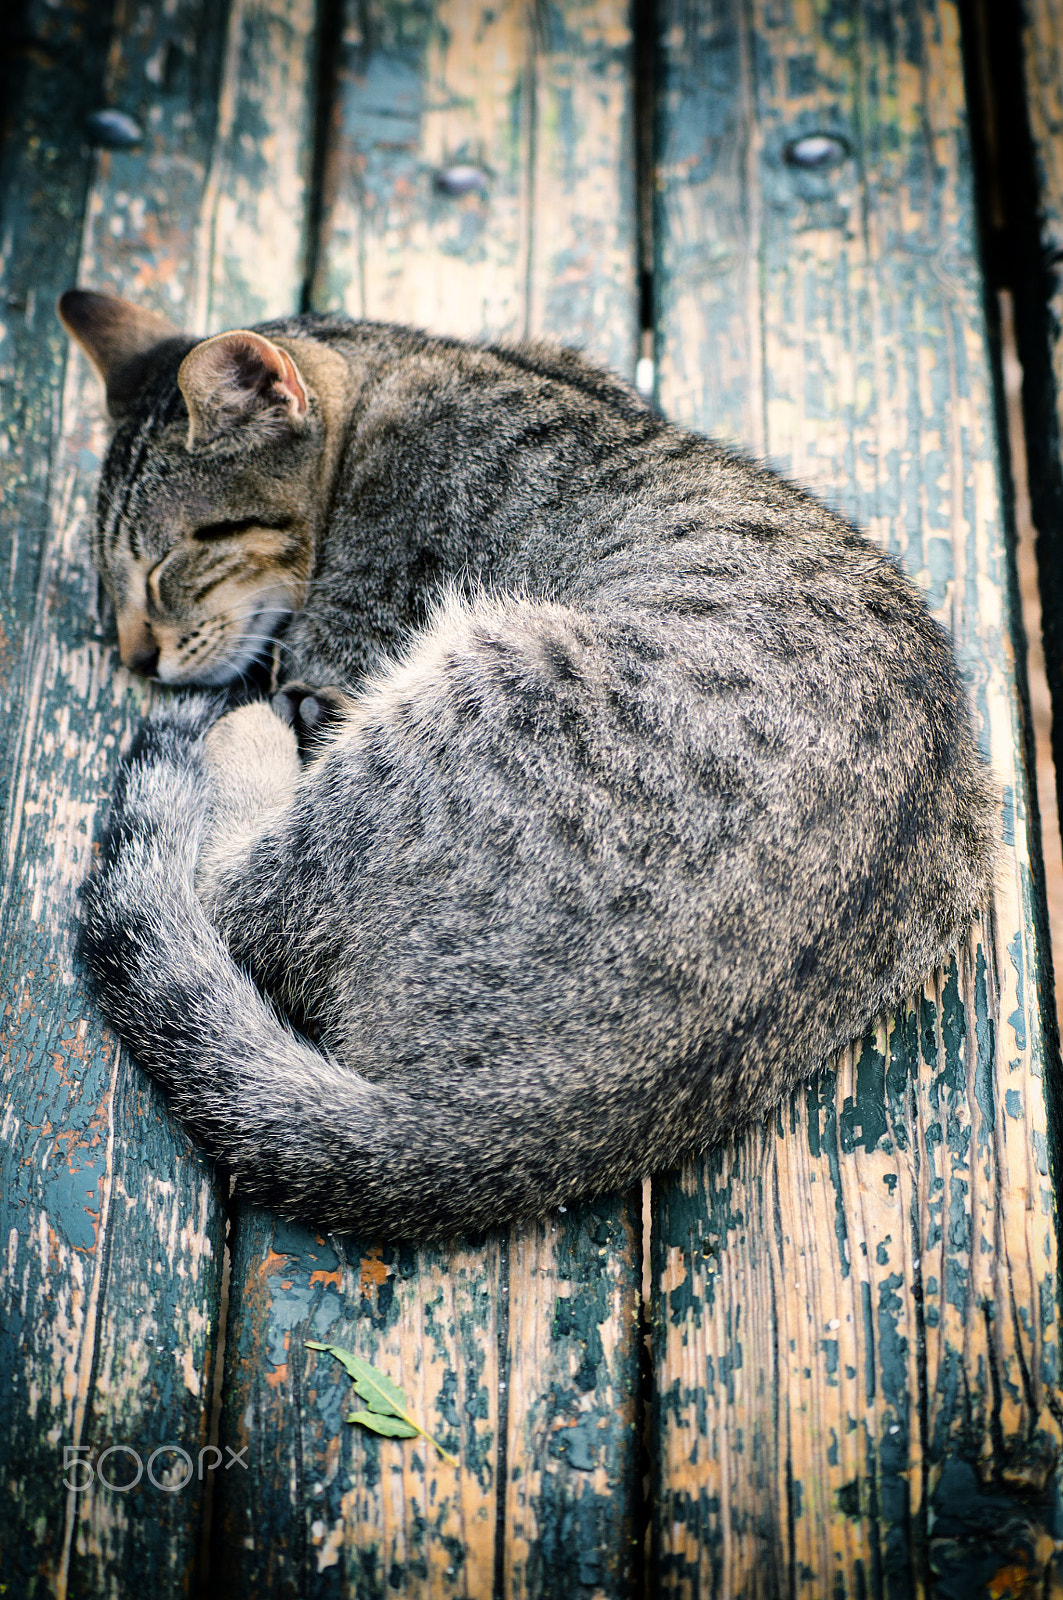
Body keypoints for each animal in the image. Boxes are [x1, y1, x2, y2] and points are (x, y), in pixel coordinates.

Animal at [62, 291, 998, 1235]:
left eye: (165, 563)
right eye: (107, 578)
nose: (137, 658)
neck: (389, 374)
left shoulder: (344, 638)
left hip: (469, 681)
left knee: (229, 892)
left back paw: (241, 732)